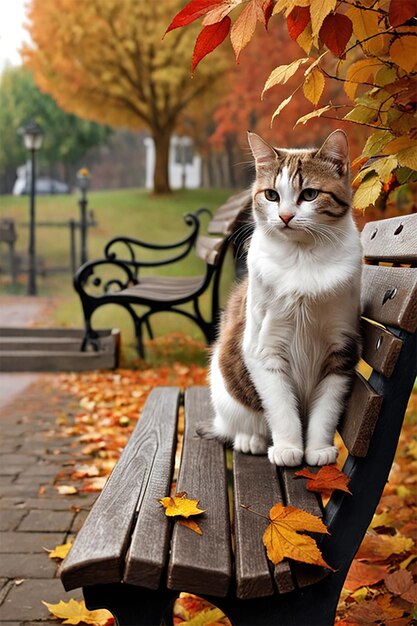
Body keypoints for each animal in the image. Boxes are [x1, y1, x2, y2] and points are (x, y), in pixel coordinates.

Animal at [210, 129, 362, 466]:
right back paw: (251, 439)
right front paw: (289, 447)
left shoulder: (341, 348)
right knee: (237, 422)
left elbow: (326, 409)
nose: (285, 216)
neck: (302, 259)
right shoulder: (262, 347)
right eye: (271, 195)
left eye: (310, 194)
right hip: (225, 390)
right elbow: (280, 407)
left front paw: (317, 449)